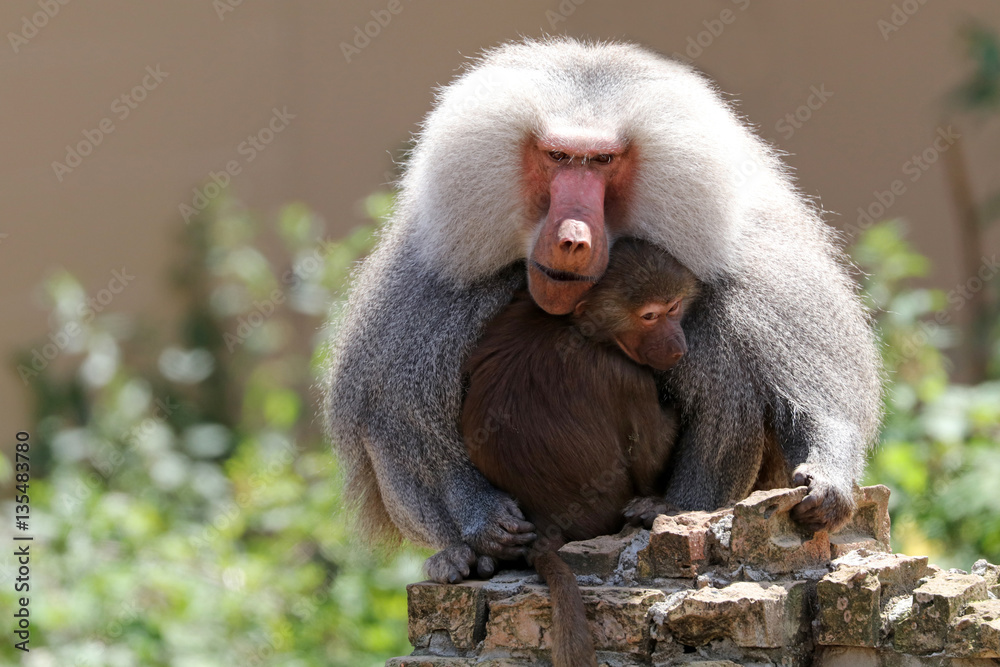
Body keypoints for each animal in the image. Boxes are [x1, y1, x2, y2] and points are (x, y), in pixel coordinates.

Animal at [323, 38, 882, 580]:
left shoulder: (756, 267)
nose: (572, 238)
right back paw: (460, 557)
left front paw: (822, 477)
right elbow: (395, 419)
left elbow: (798, 391)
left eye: (602, 161)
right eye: (557, 156)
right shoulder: (432, 278)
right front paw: (482, 521)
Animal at [451, 238, 699, 667]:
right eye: (649, 316)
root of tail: (547, 525)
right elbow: (649, 460)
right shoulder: (626, 374)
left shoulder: (523, 304)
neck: (571, 326)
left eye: (673, 308)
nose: (676, 347)